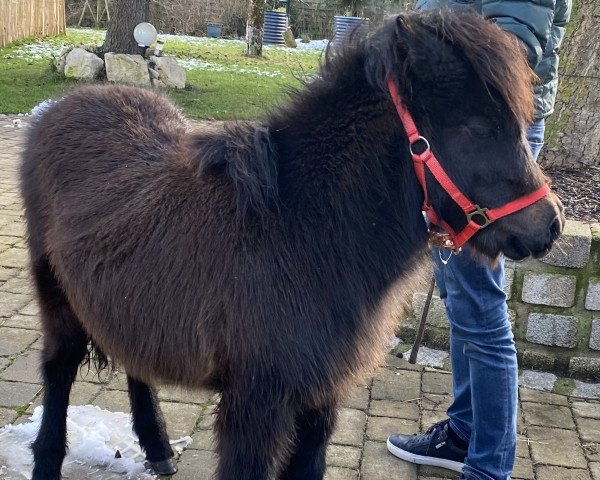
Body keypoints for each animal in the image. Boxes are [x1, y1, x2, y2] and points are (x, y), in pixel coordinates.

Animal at [18, 10, 564, 480]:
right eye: (475, 126)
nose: (551, 226)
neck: (306, 230)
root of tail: (58, 109)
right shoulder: (255, 406)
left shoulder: (320, 401)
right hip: (58, 301)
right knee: (59, 370)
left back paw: (157, 448)